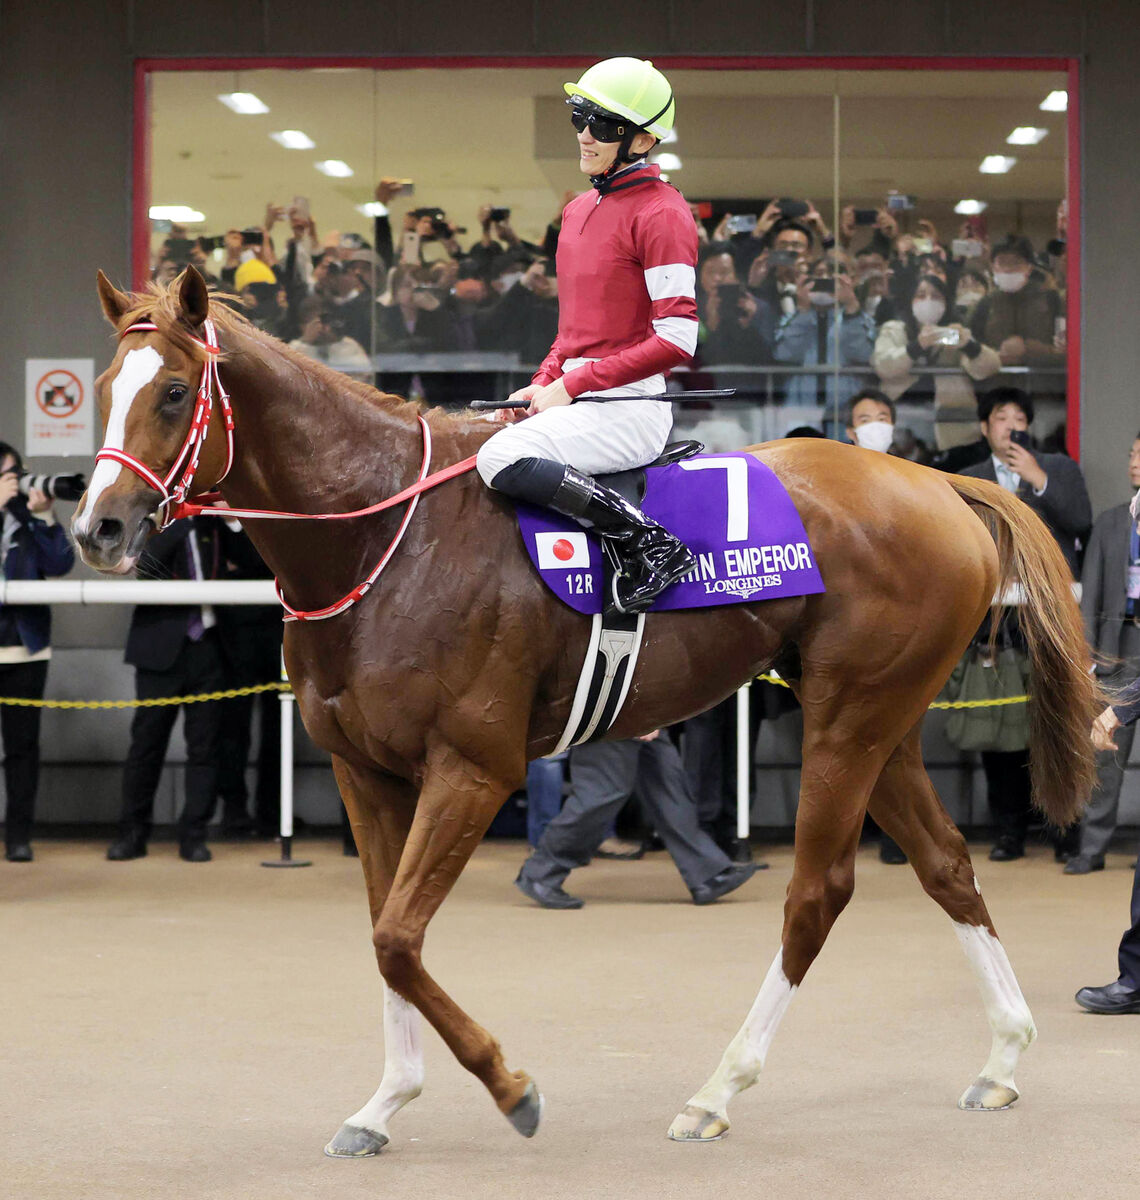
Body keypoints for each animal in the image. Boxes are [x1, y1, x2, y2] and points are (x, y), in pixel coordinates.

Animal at [75, 270, 1104, 1152]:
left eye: (174, 391)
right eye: (104, 386)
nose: (98, 527)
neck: (388, 534)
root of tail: (940, 483)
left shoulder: (472, 768)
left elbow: (399, 938)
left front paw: (509, 1086)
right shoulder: (365, 773)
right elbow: (383, 931)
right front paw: (384, 1103)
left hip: (850, 720)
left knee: (818, 894)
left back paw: (717, 1090)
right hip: (876, 718)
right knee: (947, 865)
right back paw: (1003, 1054)